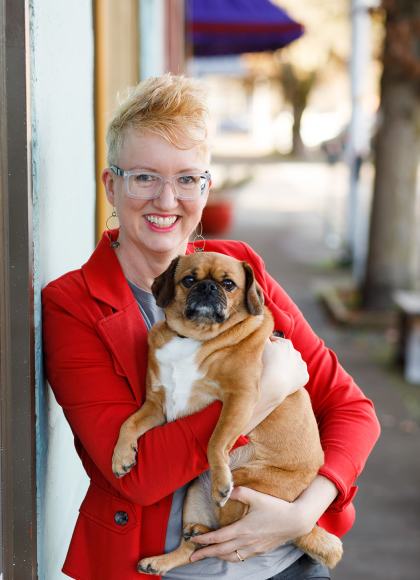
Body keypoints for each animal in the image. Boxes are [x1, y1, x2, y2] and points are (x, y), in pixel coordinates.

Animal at [112, 251, 344, 572]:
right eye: (188, 280)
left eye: (229, 284)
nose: (208, 287)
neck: (193, 337)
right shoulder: (157, 405)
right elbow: (129, 423)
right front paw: (121, 456)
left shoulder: (240, 398)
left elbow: (216, 440)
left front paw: (221, 479)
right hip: (194, 494)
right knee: (195, 546)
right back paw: (162, 559)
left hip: (245, 479)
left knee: (228, 532)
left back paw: (206, 520)